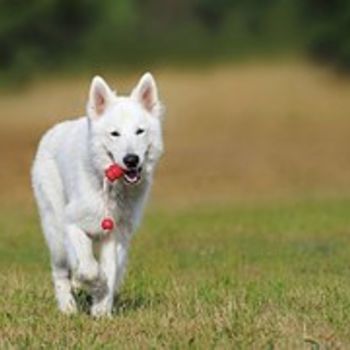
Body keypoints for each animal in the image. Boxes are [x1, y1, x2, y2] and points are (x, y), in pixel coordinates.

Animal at [31, 73, 164, 318]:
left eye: (139, 131)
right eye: (115, 134)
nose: (131, 160)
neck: (110, 187)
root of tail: (52, 131)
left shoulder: (114, 235)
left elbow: (109, 270)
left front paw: (101, 309)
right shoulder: (72, 225)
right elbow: (89, 268)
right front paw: (93, 285)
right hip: (55, 233)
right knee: (60, 272)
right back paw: (67, 307)